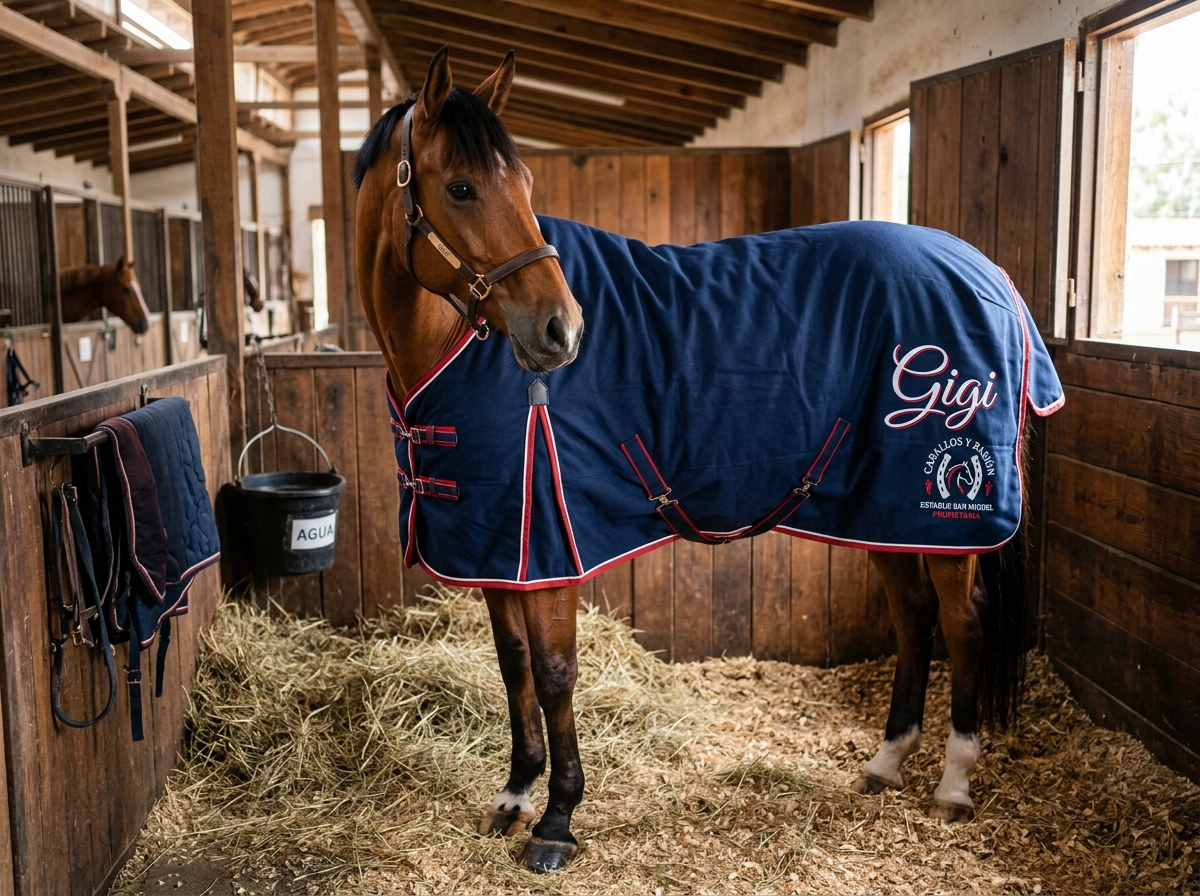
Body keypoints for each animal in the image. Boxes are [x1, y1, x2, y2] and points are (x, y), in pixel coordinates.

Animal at [353, 48, 1062, 874]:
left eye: (525, 185)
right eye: (461, 187)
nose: (562, 329)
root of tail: (989, 274)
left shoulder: (548, 547)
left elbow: (556, 673)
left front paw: (557, 818)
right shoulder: (500, 551)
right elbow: (514, 667)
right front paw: (515, 795)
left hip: (944, 518)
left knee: (962, 622)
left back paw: (953, 782)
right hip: (883, 511)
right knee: (915, 616)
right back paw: (886, 762)